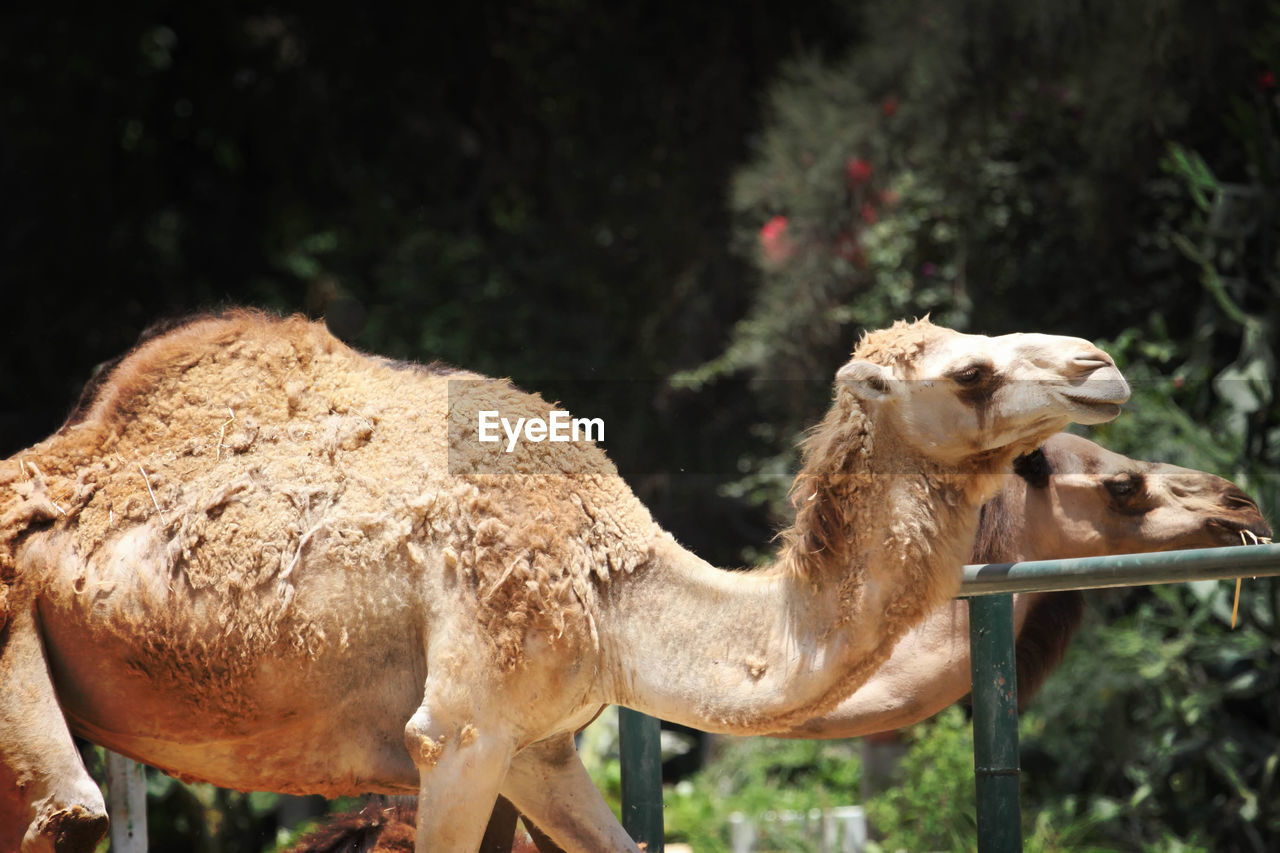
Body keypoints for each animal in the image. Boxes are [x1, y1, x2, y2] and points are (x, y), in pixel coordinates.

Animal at [0, 308, 1131, 845]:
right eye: (970, 372)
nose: (1100, 363)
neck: (610, 585)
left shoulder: (539, 743)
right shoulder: (457, 733)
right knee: (69, 812)